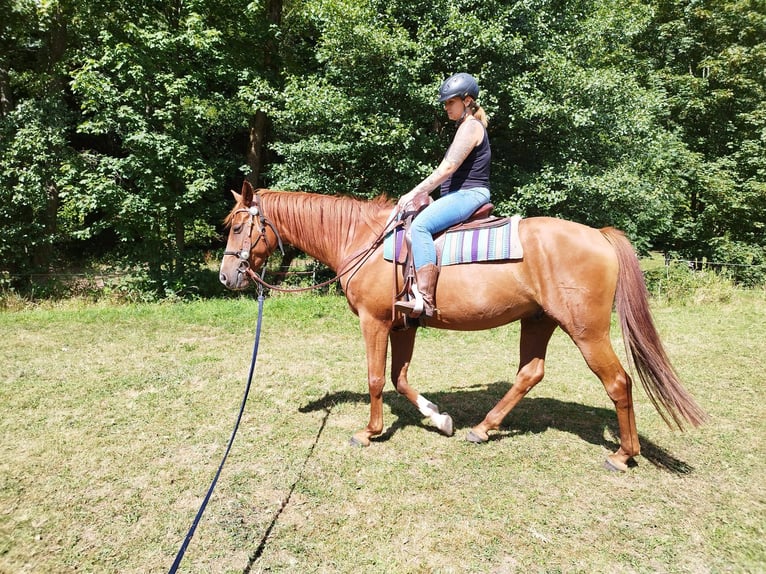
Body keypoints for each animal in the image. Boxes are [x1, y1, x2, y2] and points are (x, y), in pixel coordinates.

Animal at [219, 181, 706, 471]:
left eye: (240, 227)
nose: (226, 277)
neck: (362, 240)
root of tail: (599, 236)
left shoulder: (376, 323)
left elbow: (376, 378)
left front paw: (369, 432)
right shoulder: (405, 325)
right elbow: (400, 378)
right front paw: (441, 419)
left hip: (587, 332)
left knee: (619, 382)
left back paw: (623, 454)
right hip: (539, 321)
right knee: (530, 373)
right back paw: (482, 428)